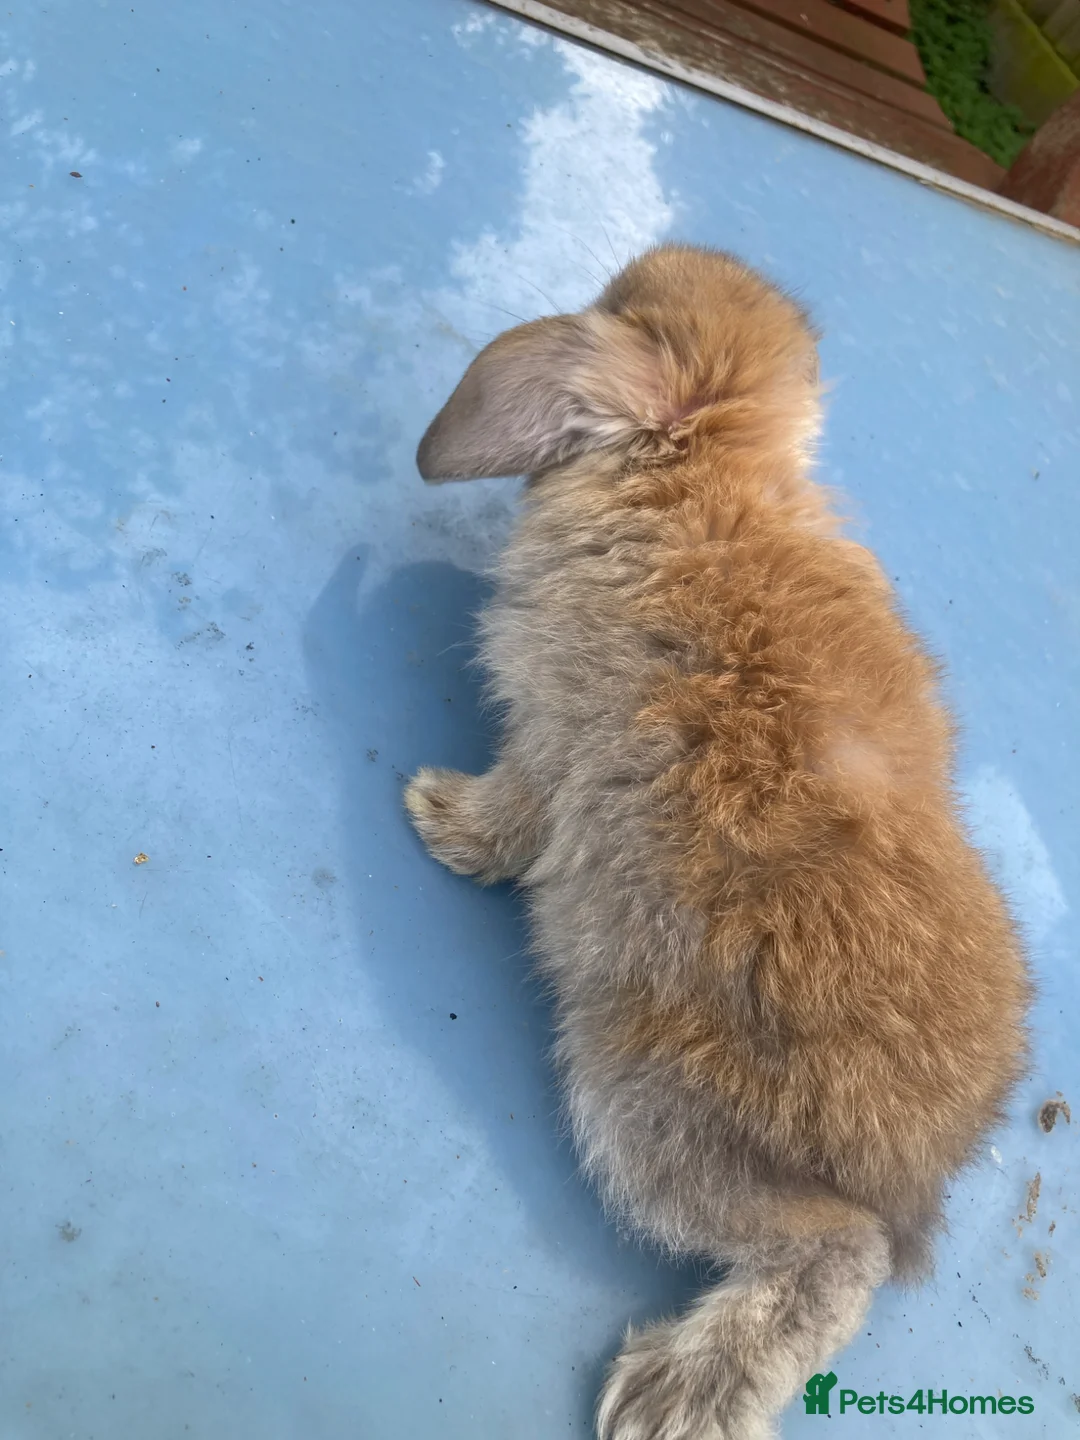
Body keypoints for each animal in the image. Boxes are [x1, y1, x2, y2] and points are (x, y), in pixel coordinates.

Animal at [404, 244, 1031, 1440]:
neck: (703, 469)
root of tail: (917, 1168)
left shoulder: (551, 739)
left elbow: (518, 812)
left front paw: (440, 818)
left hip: (647, 1105)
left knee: (834, 1255)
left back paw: (674, 1394)